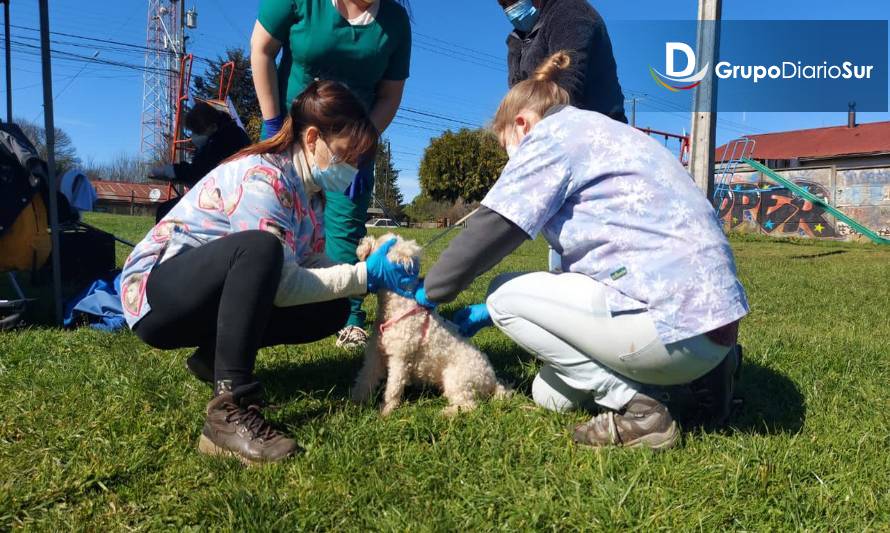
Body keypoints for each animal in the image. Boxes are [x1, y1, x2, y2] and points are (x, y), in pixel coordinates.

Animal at [350, 233, 510, 416]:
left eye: (381, 242)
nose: (360, 241)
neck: (398, 307)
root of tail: (492, 380)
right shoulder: (375, 354)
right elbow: (365, 378)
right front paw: (356, 403)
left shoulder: (400, 358)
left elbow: (393, 387)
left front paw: (385, 411)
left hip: (456, 379)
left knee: (469, 406)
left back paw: (445, 413)